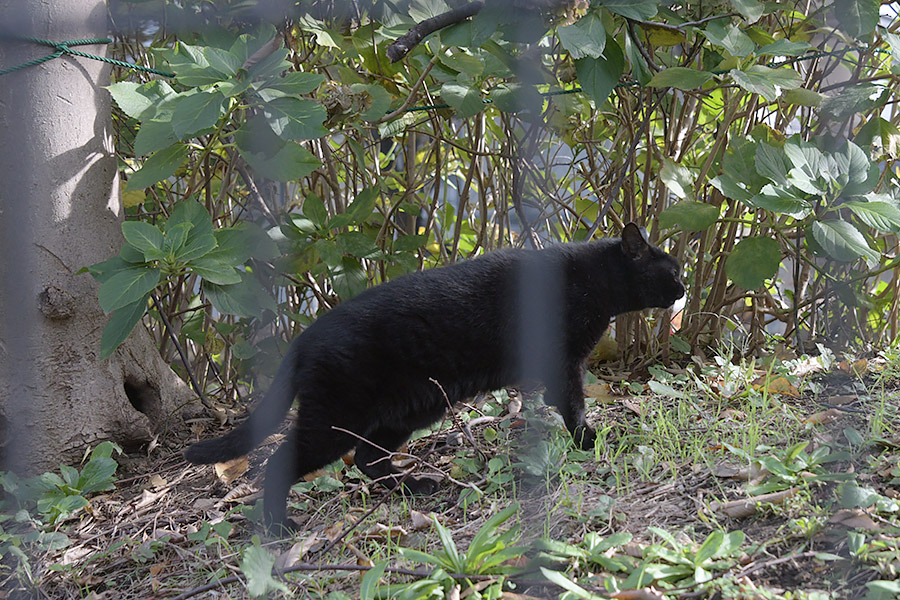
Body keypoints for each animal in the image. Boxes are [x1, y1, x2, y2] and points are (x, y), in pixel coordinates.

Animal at [186, 221, 684, 528]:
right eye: (672, 270)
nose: (683, 288)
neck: (591, 279)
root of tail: (301, 341)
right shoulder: (564, 363)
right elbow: (574, 405)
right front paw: (591, 441)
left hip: (403, 413)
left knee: (368, 461)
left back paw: (416, 487)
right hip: (335, 419)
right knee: (279, 464)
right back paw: (280, 529)